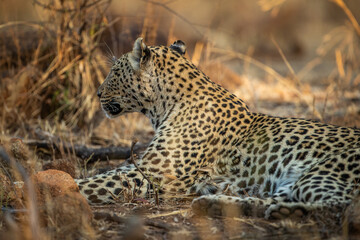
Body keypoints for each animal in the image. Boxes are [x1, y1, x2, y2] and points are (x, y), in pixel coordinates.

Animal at [74, 37, 360, 219]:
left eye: (114, 72)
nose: (98, 93)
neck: (165, 105)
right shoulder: (145, 164)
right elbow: (106, 174)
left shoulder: (153, 174)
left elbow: (96, 183)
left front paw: (70, 186)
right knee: (276, 198)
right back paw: (215, 203)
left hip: (321, 173)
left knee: (339, 205)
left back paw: (289, 212)